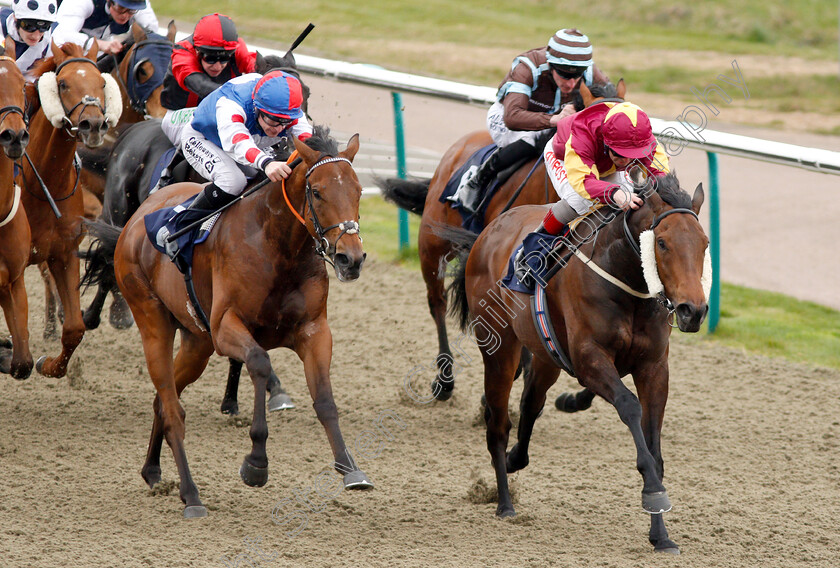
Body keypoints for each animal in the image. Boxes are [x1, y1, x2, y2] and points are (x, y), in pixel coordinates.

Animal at [20, 41, 121, 378]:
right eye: (63, 84)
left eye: (102, 83)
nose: (93, 124)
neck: (42, 185)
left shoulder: (63, 254)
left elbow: (75, 329)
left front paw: (50, 364)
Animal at [83, 126, 370, 516]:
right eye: (317, 192)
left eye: (358, 191)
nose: (350, 259)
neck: (277, 246)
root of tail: (134, 221)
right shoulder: (225, 328)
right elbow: (260, 363)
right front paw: (256, 463)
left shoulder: (314, 331)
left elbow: (325, 400)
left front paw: (350, 468)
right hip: (153, 320)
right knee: (172, 410)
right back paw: (191, 495)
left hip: (196, 344)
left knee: (163, 399)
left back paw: (153, 471)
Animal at [446, 174, 708, 556]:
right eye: (661, 242)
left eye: (704, 243)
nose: (694, 311)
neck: (626, 281)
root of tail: (490, 230)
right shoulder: (589, 360)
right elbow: (629, 407)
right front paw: (653, 493)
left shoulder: (655, 367)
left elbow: (653, 443)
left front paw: (661, 534)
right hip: (499, 349)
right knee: (498, 424)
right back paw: (504, 503)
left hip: (545, 355)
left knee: (530, 404)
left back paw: (514, 459)